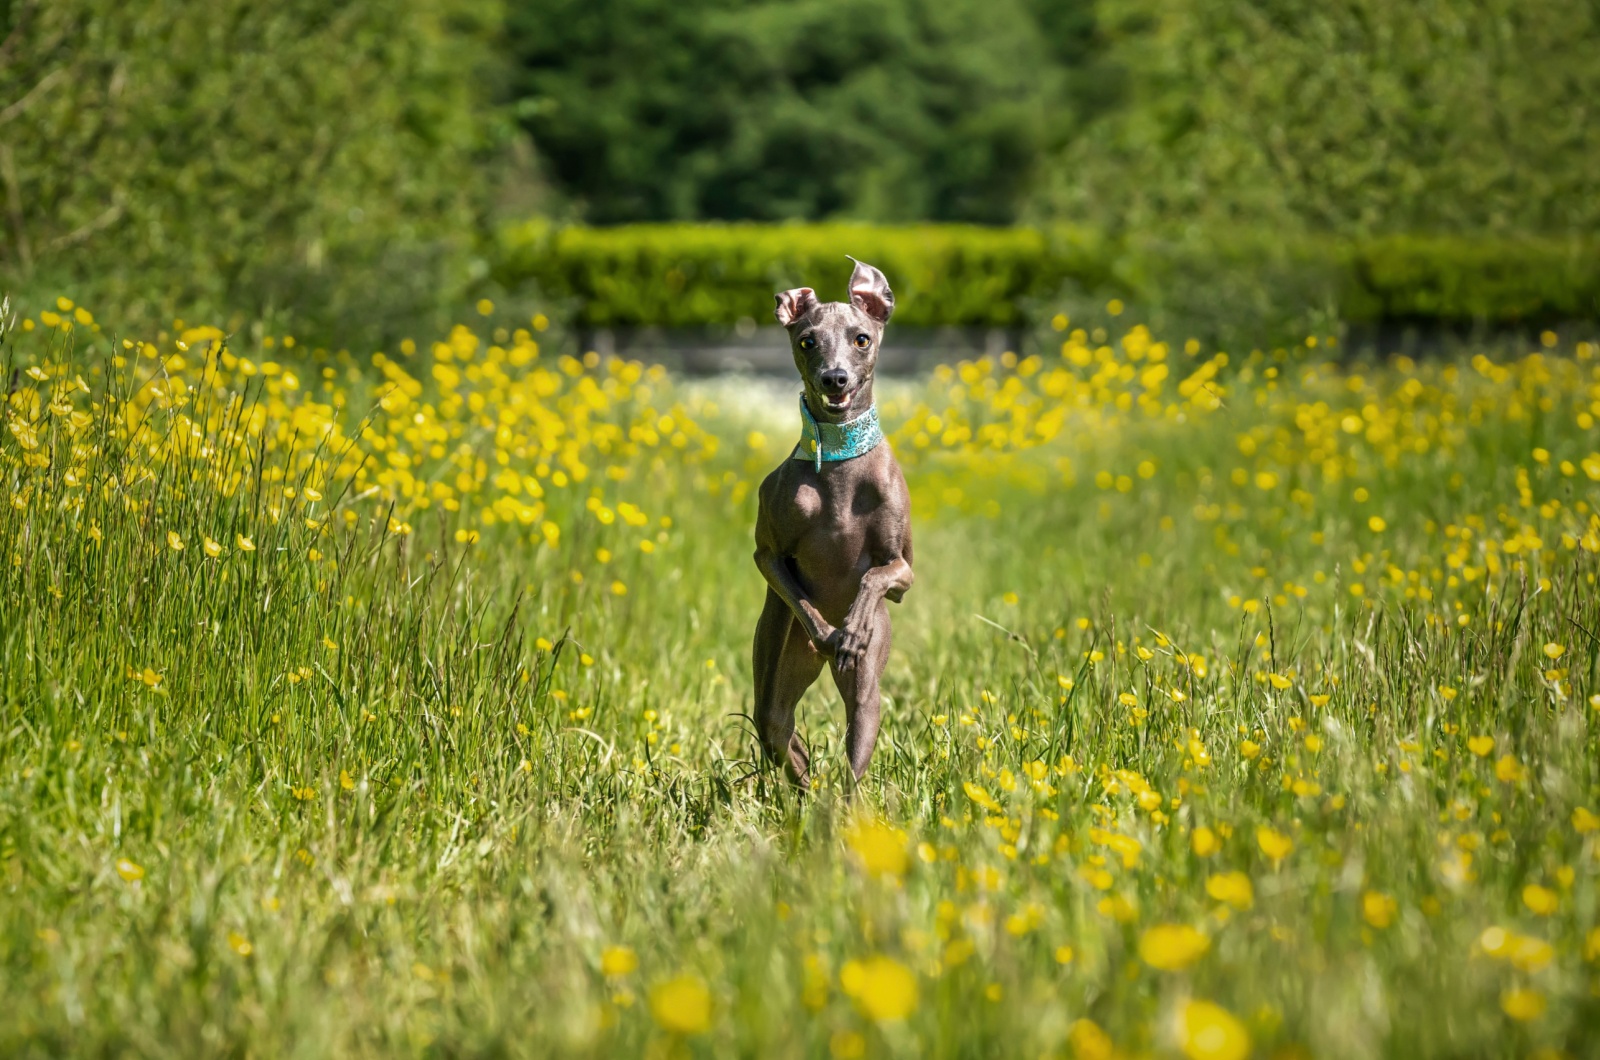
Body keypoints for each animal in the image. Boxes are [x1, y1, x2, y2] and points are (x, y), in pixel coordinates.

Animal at [748, 257, 915, 787]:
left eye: (861, 338)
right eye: (808, 341)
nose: (835, 379)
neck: (840, 462)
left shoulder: (904, 569)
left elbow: (875, 578)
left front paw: (852, 628)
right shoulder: (767, 554)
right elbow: (794, 588)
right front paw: (828, 630)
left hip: (866, 686)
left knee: (857, 731)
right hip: (775, 657)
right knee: (777, 728)